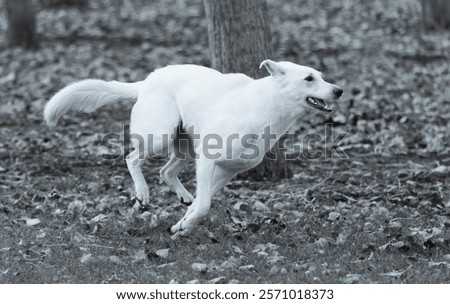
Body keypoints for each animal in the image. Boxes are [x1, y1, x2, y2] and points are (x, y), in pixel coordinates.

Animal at [44, 60, 342, 239]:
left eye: (322, 77)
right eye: (309, 78)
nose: (338, 91)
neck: (263, 108)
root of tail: (147, 81)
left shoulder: (227, 171)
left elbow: (202, 202)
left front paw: (183, 224)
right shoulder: (208, 161)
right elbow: (205, 205)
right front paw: (186, 225)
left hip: (185, 146)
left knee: (165, 172)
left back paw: (182, 196)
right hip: (160, 135)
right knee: (132, 158)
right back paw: (142, 192)